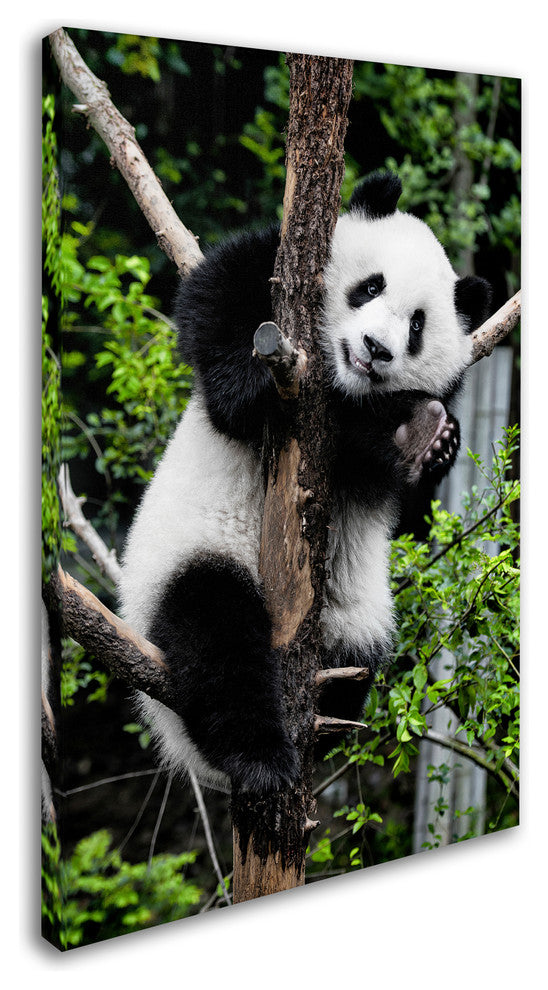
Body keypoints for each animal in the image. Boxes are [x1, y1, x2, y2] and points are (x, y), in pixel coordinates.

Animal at [118, 171, 491, 796]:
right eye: (370, 287)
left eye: (417, 325)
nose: (375, 350)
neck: (338, 389)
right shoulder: (268, 274)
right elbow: (214, 302)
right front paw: (250, 389)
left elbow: (395, 488)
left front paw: (426, 440)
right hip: (184, 558)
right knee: (216, 635)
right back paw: (258, 757)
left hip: (356, 619)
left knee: (357, 662)